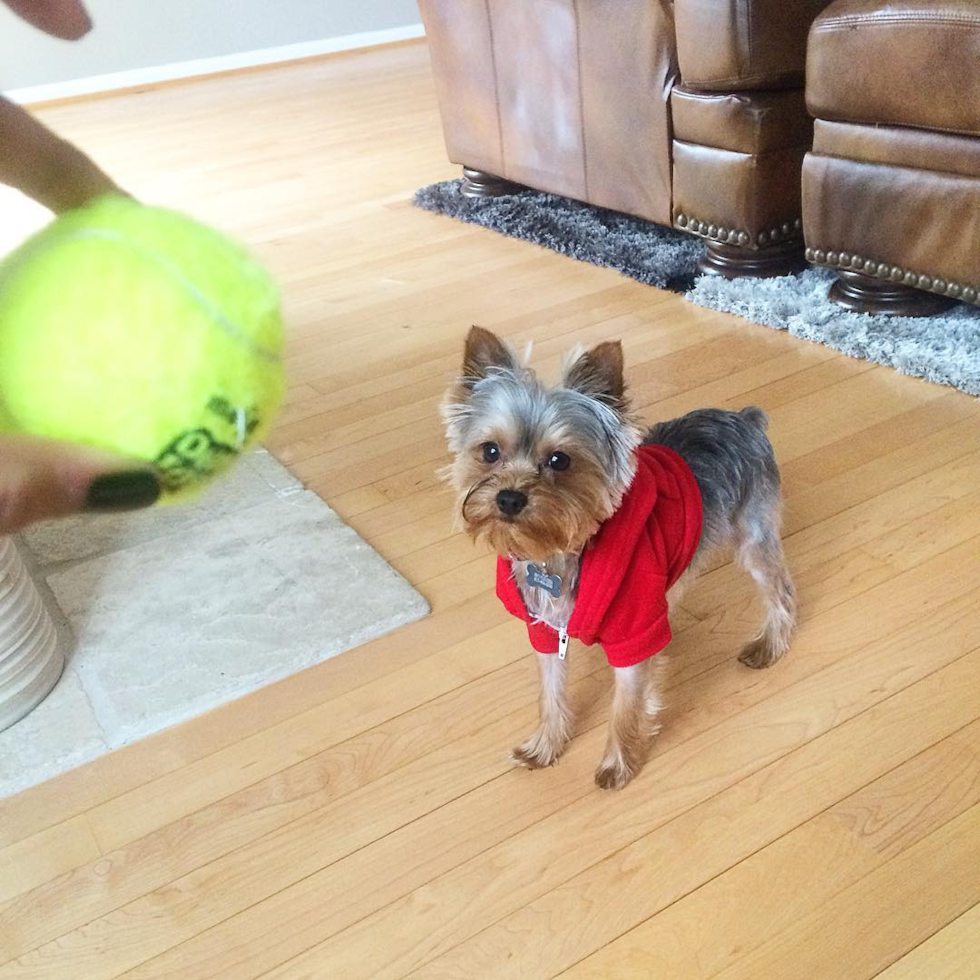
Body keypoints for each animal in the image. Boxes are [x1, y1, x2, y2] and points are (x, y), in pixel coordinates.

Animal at [444, 328, 796, 788]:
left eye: (559, 460)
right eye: (489, 452)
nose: (508, 498)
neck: (557, 554)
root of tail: (744, 419)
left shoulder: (632, 634)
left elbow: (625, 706)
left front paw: (617, 764)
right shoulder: (545, 630)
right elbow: (551, 691)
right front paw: (545, 746)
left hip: (753, 532)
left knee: (780, 589)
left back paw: (769, 646)